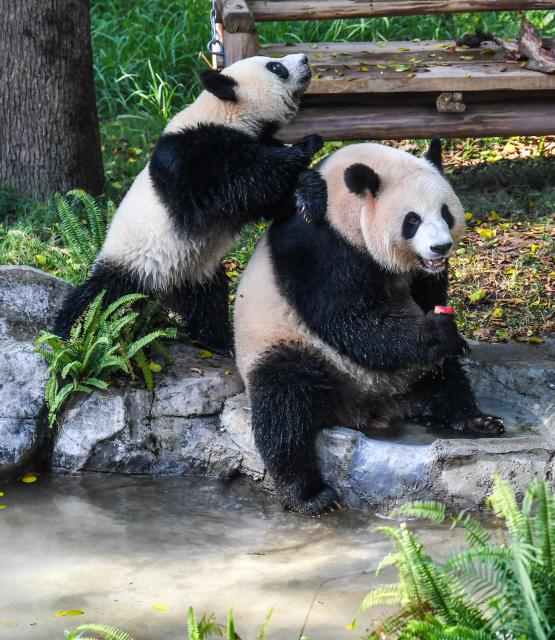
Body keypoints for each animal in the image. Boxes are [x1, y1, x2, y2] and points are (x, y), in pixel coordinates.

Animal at [54, 54, 325, 354]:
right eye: (275, 67)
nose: (304, 59)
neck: (226, 113)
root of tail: (163, 286)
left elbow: (265, 198)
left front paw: (310, 196)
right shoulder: (189, 159)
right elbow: (239, 183)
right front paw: (305, 145)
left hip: (196, 270)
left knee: (208, 301)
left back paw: (218, 341)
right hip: (131, 262)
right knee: (101, 296)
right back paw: (69, 333)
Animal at [234, 139, 505, 516]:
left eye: (445, 213)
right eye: (412, 220)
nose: (440, 247)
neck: (344, 206)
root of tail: (366, 407)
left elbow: (427, 292)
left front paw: (455, 336)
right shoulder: (318, 244)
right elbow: (348, 319)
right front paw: (436, 330)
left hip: (407, 373)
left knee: (444, 377)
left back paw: (474, 419)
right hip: (290, 345)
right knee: (284, 401)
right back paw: (309, 494)